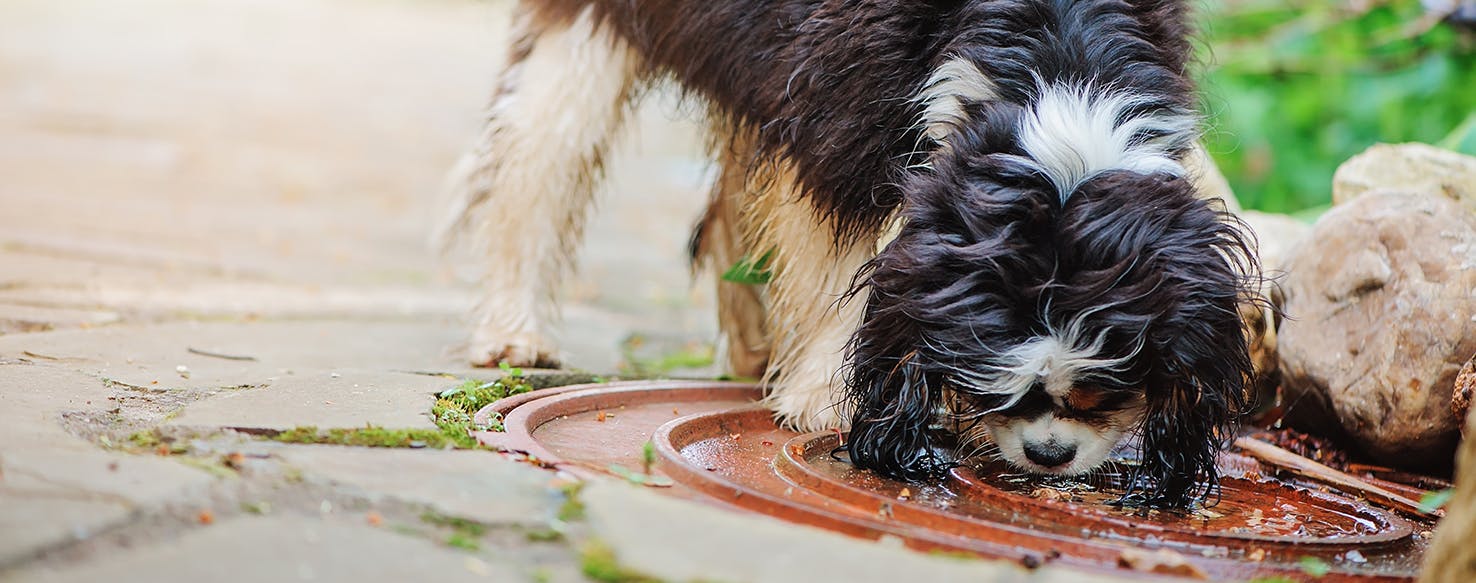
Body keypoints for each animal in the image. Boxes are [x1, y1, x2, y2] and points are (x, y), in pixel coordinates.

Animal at [433, 0, 1269, 507]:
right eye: (1001, 391)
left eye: (1104, 392)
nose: (1050, 455)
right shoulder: (835, 97)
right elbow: (843, 253)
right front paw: (825, 396)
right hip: (600, 37)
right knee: (538, 156)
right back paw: (513, 329)